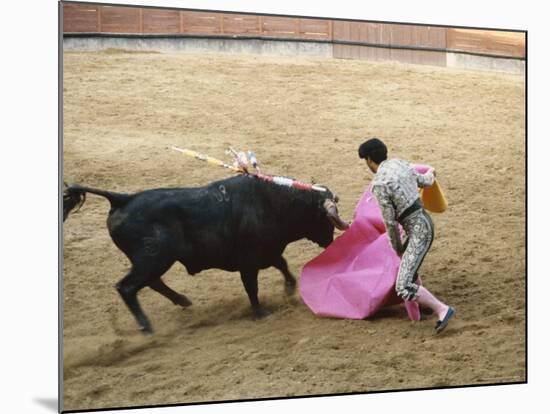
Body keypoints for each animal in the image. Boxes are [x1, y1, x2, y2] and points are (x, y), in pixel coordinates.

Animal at [64, 175, 350, 334]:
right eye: (324, 218)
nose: (330, 241)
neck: (276, 203)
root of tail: (123, 199)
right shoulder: (248, 261)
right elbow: (253, 287)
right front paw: (260, 313)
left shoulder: (267, 252)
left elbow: (282, 264)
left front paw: (289, 288)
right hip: (153, 259)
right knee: (127, 287)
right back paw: (147, 327)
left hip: (152, 261)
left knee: (150, 283)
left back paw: (182, 301)